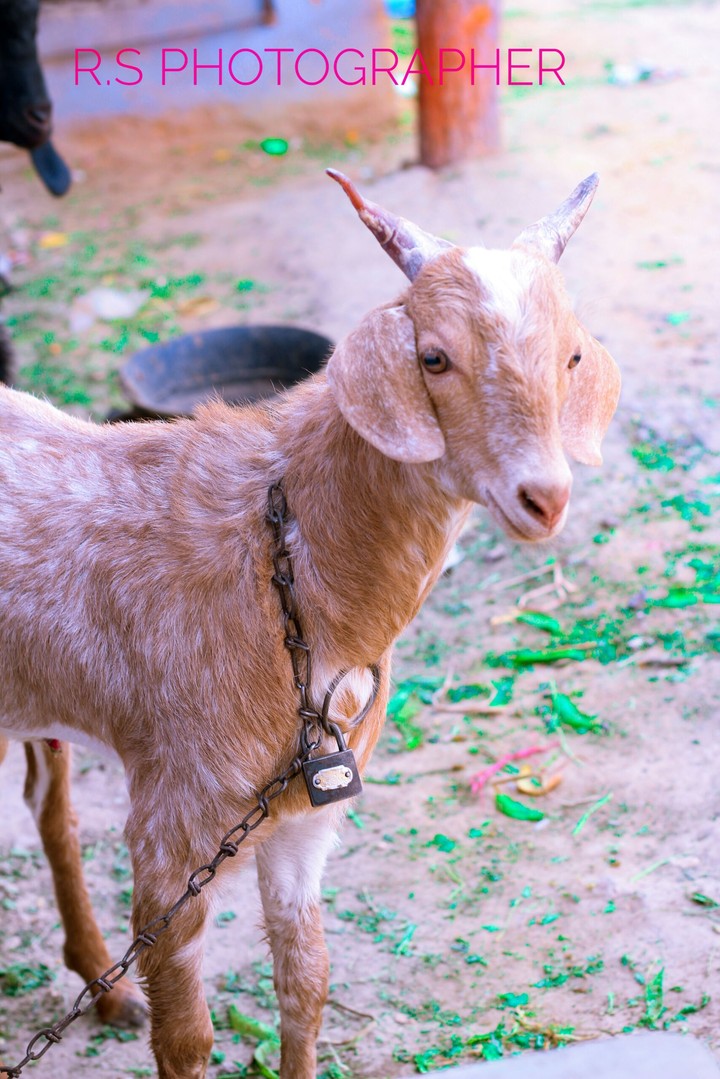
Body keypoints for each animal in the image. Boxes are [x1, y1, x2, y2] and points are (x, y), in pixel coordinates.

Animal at [0, 172, 620, 1079]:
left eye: (571, 355)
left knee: (49, 803)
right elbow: (187, 1037)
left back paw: (102, 988)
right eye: (434, 356)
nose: (545, 496)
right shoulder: (172, 830)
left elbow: (307, 985)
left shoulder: (305, 817)